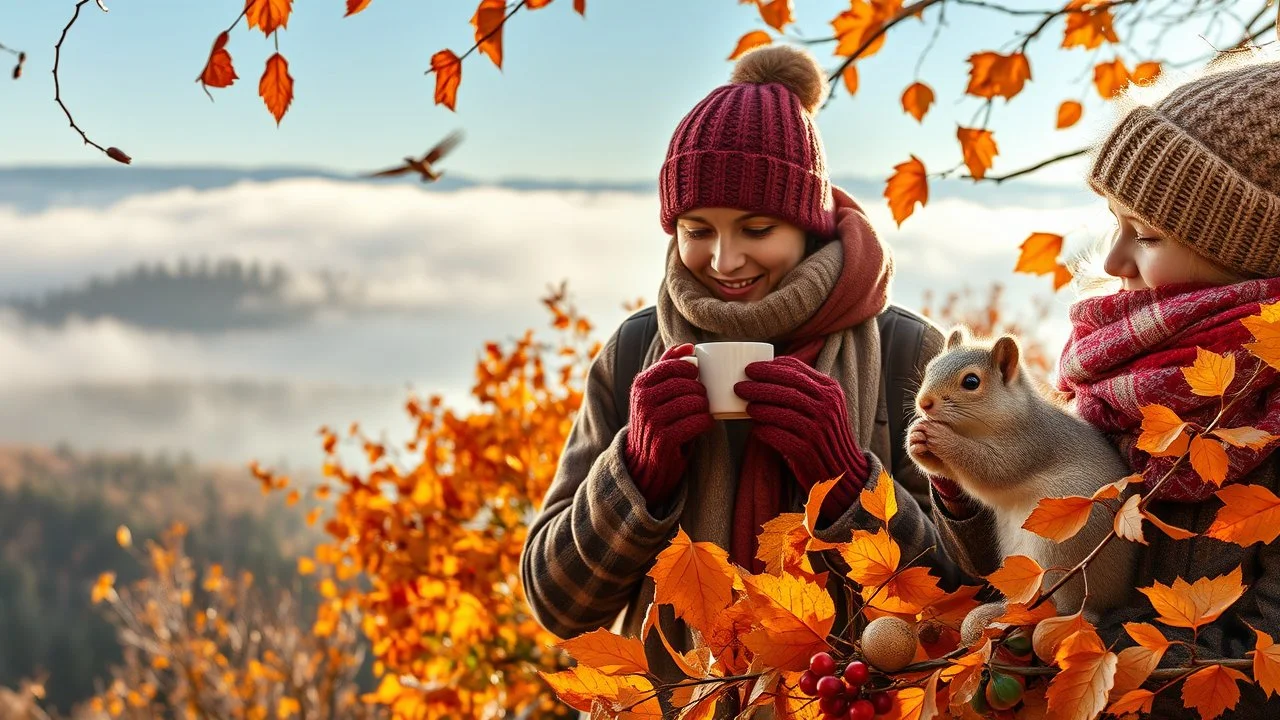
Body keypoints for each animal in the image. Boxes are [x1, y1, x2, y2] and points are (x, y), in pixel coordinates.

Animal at [906, 325, 1136, 622]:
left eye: (971, 382)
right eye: (930, 367)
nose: (924, 403)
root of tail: (1112, 602)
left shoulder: (1029, 444)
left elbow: (991, 470)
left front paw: (941, 437)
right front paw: (915, 439)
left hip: (1064, 543)